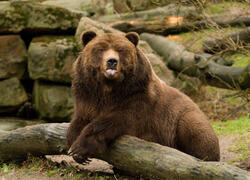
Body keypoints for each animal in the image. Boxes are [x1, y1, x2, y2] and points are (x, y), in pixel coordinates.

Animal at [67, 30, 221, 162]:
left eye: (120, 50)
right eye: (101, 49)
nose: (112, 61)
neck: (109, 88)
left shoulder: (138, 96)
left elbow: (119, 119)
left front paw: (79, 148)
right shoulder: (87, 94)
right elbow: (80, 118)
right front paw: (74, 145)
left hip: (184, 117)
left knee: (195, 130)